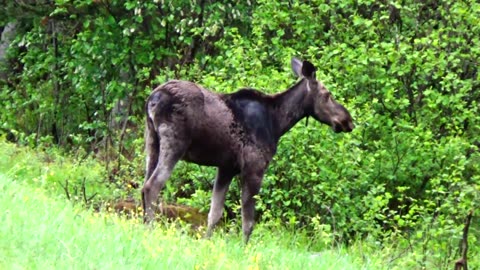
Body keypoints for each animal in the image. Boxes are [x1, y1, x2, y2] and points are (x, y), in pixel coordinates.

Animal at [141, 57, 354, 243]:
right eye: (328, 95)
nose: (348, 120)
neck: (277, 123)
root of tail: (153, 98)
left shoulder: (226, 168)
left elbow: (214, 213)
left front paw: (207, 243)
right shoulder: (254, 168)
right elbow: (248, 222)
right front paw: (244, 248)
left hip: (152, 143)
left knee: (143, 186)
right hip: (174, 144)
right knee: (152, 186)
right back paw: (150, 230)